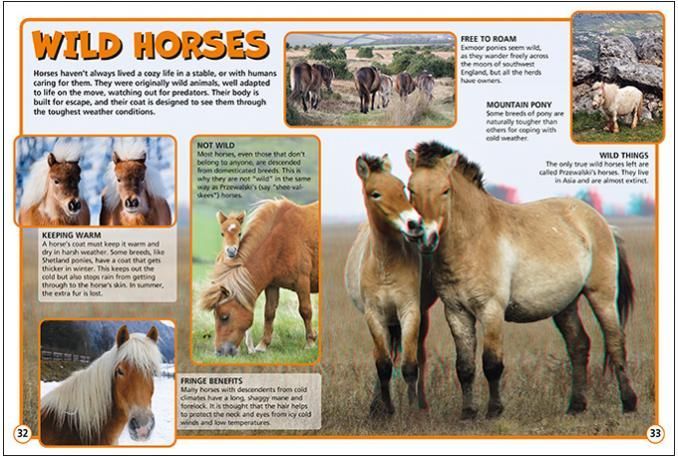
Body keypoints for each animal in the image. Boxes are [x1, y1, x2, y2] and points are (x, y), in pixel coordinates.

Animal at [199, 199, 319, 356]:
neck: (282, 240)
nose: (219, 352)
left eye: (225, 317)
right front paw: (263, 345)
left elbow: (305, 311)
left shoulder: (302, 282)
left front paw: (310, 342)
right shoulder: (272, 285)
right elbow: (269, 313)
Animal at [344, 154, 425, 416]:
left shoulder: (410, 311)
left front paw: (413, 410)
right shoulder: (374, 315)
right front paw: (387, 409)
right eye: (375, 194)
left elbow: (409, 364)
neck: (386, 264)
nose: (414, 224)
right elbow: (382, 365)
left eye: (402, 187)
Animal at [405, 141, 638, 419]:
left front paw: (494, 411)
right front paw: (468, 413)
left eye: (445, 191)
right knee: (579, 345)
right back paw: (576, 406)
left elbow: (492, 364)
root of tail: (601, 223)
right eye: (410, 189)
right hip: (565, 305)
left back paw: (629, 403)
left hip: (602, 296)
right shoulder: (456, 312)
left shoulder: (491, 310)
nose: (424, 237)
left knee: (615, 343)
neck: (473, 238)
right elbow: (464, 367)